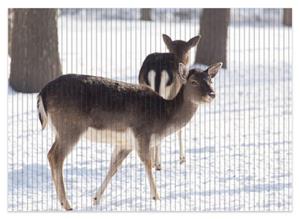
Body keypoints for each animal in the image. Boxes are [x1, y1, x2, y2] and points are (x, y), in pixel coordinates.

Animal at [37, 61, 221, 210]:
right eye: (193, 81)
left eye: (210, 80)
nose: (212, 94)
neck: (163, 118)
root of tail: (42, 93)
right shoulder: (142, 133)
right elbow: (148, 163)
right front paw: (156, 197)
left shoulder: (125, 143)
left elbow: (113, 167)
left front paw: (96, 199)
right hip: (70, 126)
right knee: (55, 156)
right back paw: (67, 204)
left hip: (61, 129)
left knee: (51, 155)